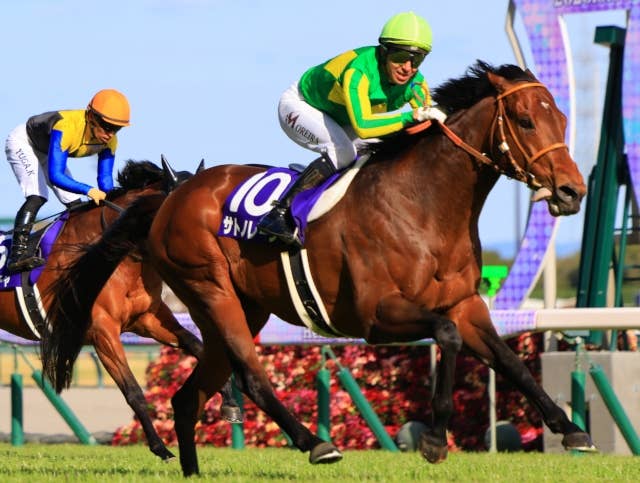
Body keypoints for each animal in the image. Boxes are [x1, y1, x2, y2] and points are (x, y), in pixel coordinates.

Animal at [0, 159, 239, 462]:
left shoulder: (147, 318)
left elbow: (195, 344)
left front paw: (229, 403)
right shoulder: (103, 330)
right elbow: (133, 390)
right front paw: (161, 448)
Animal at [40, 61, 590, 476]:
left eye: (563, 119)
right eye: (525, 121)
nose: (572, 191)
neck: (424, 205)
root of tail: (170, 197)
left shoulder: (465, 304)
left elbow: (510, 361)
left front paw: (571, 430)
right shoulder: (377, 316)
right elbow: (448, 338)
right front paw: (435, 439)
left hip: (239, 306)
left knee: (187, 396)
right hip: (210, 289)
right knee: (250, 374)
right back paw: (315, 442)